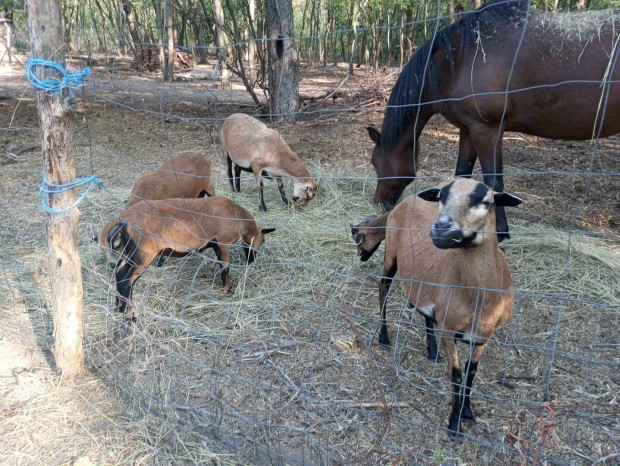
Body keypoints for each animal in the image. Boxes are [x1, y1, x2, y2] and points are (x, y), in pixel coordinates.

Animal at [105, 196, 274, 320]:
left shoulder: (216, 245)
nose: (251, 261)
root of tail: (124, 221)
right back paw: (130, 315)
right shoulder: (224, 243)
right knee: (127, 281)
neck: (237, 216)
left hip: (129, 253)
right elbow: (225, 268)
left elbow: (221, 266)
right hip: (144, 254)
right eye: (263, 240)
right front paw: (227, 290)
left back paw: (119, 308)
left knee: (119, 274)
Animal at [368, 0, 620, 238]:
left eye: (375, 162)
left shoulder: (487, 131)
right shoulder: (468, 130)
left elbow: (494, 183)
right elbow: (462, 175)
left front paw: (500, 232)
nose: (379, 202)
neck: (462, 58)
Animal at [378, 178, 524, 436]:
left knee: (424, 308)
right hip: (391, 253)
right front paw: (454, 425)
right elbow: (456, 375)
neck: (479, 299)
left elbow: (470, 373)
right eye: (440, 197)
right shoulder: (448, 330)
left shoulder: (483, 336)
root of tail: (408, 198)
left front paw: (467, 412)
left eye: (486, 201)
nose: (441, 229)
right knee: (383, 289)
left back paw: (432, 350)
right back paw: (383, 337)